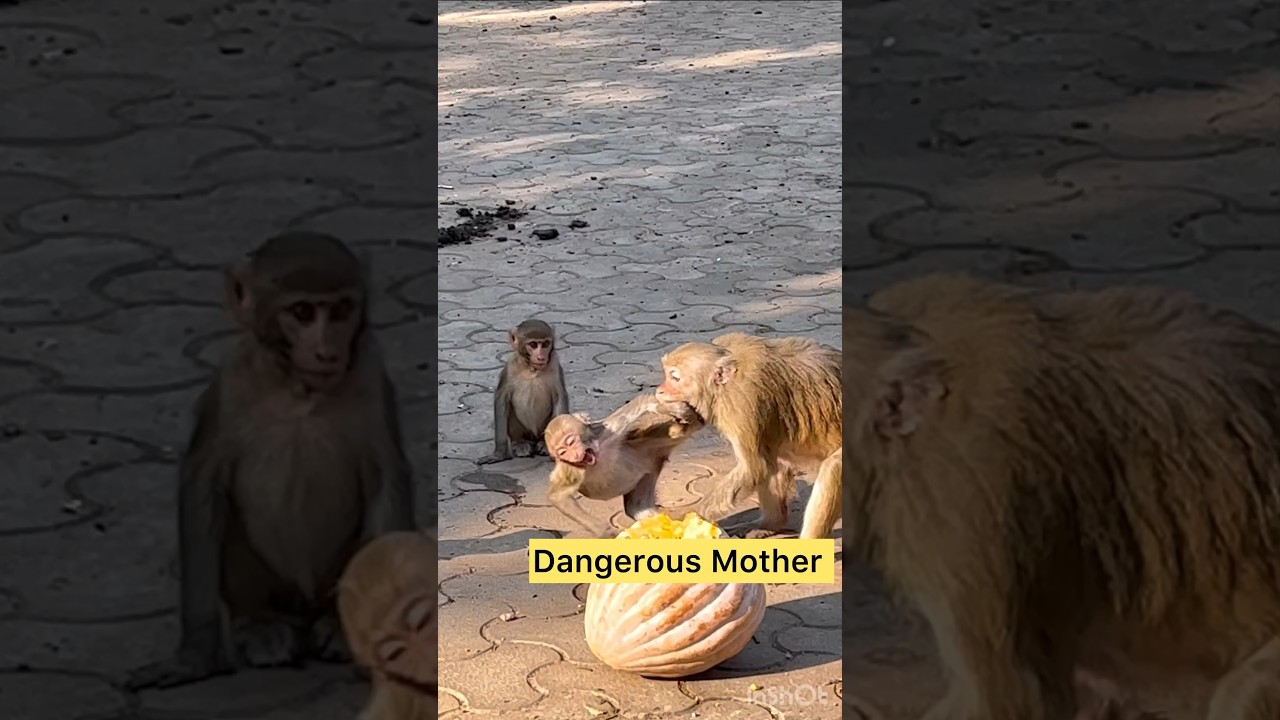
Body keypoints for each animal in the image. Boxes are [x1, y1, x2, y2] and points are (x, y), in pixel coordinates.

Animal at [124, 232, 416, 690]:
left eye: (341, 310)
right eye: (302, 312)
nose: (327, 350)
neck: (299, 391)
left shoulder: (371, 373)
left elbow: (387, 481)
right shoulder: (230, 384)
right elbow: (201, 486)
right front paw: (194, 657)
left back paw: (336, 627)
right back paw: (261, 626)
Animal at [478, 319, 569, 464]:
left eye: (546, 344)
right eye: (533, 344)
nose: (541, 357)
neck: (531, 369)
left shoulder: (555, 364)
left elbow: (560, 398)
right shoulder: (510, 368)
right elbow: (501, 399)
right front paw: (498, 454)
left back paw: (544, 444)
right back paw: (520, 444)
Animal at [543, 393, 704, 538]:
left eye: (571, 442)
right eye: (563, 452)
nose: (575, 456)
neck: (598, 453)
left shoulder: (610, 430)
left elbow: (642, 403)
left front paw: (669, 408)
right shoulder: (569, 468)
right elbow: (559, 496)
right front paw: (605, 531)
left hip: (645, 447)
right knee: (637, 508)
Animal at [654, 333, 842, 539]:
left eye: (675, 377)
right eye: (667, 375)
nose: (660, 390)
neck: (724, 385)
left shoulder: (742, 403)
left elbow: (753, 469)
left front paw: (689, 519)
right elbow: (763, 466)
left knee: (833, 467)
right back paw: (770, 524)